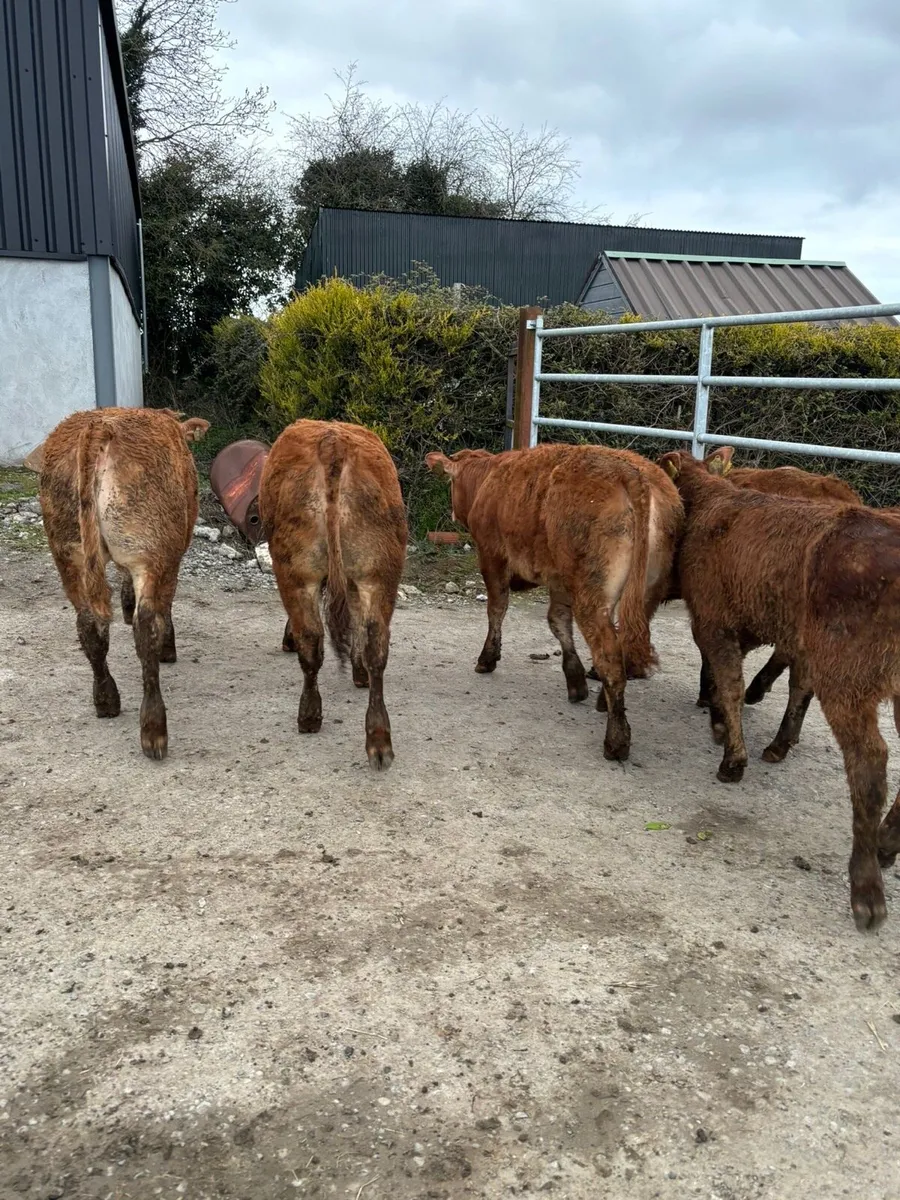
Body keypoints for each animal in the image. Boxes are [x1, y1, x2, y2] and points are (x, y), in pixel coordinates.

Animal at [39, 407, 209, 760]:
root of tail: (99, 427)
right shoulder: (170, 559)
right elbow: (164, 607)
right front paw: (168, 648)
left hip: (68, 551)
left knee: (88, 625)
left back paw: (106, 699)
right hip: (149, 550)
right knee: (146, 628)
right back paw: (154, 729)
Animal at [259, 420, 407, 771]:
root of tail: (333, 441)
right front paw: (358, 670)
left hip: (296, 571)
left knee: (311, 641)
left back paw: (309, 716)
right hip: (378, 572)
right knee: (376, 644)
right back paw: (378, 738)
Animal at [424, 443, 684, 762]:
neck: (488, 477)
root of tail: (630, 473)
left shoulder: (491, 556)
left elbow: (497, 608)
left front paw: (487, 658)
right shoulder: (560, 581)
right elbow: (557, 621)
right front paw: (575, 680)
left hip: (592, 597)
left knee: (610, 657)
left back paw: (616, 740)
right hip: (644, 597)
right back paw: (604, 702)